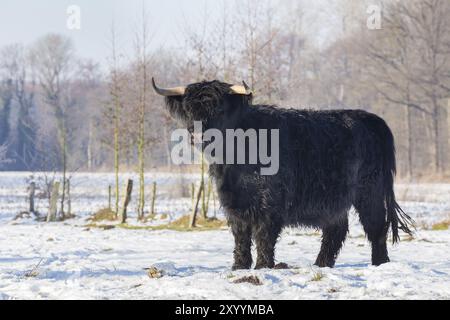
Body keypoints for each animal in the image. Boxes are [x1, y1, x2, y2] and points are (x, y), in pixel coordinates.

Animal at [153, 79, 414, 268]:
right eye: (189, 109)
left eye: (218, 108)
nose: (198, 134)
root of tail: (370, 118)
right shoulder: (232, 201)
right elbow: (241, 235)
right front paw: (239, 266)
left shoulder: (271, 202)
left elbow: (263, 235)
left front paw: (262, 266)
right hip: (335, 199)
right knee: (336, 229)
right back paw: (321, 264)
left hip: (370, 191)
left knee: (376, 225)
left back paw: (380, 263)